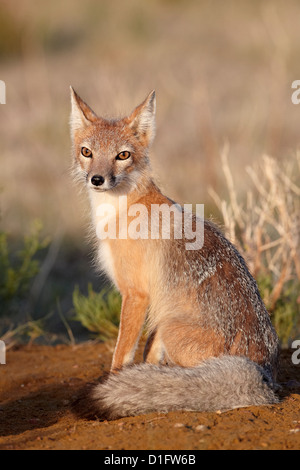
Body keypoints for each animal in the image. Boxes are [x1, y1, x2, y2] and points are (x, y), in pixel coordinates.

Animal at [69, 88, 278, 418]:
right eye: (87, 152)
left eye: (122, 155)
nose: (97, 179)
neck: (121, 209)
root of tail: (264, 372)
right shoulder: (155, 300)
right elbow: (147, 353)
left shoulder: (136, 294)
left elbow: (121, 354)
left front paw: (116, 384)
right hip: (167, 322)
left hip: (170, 326)